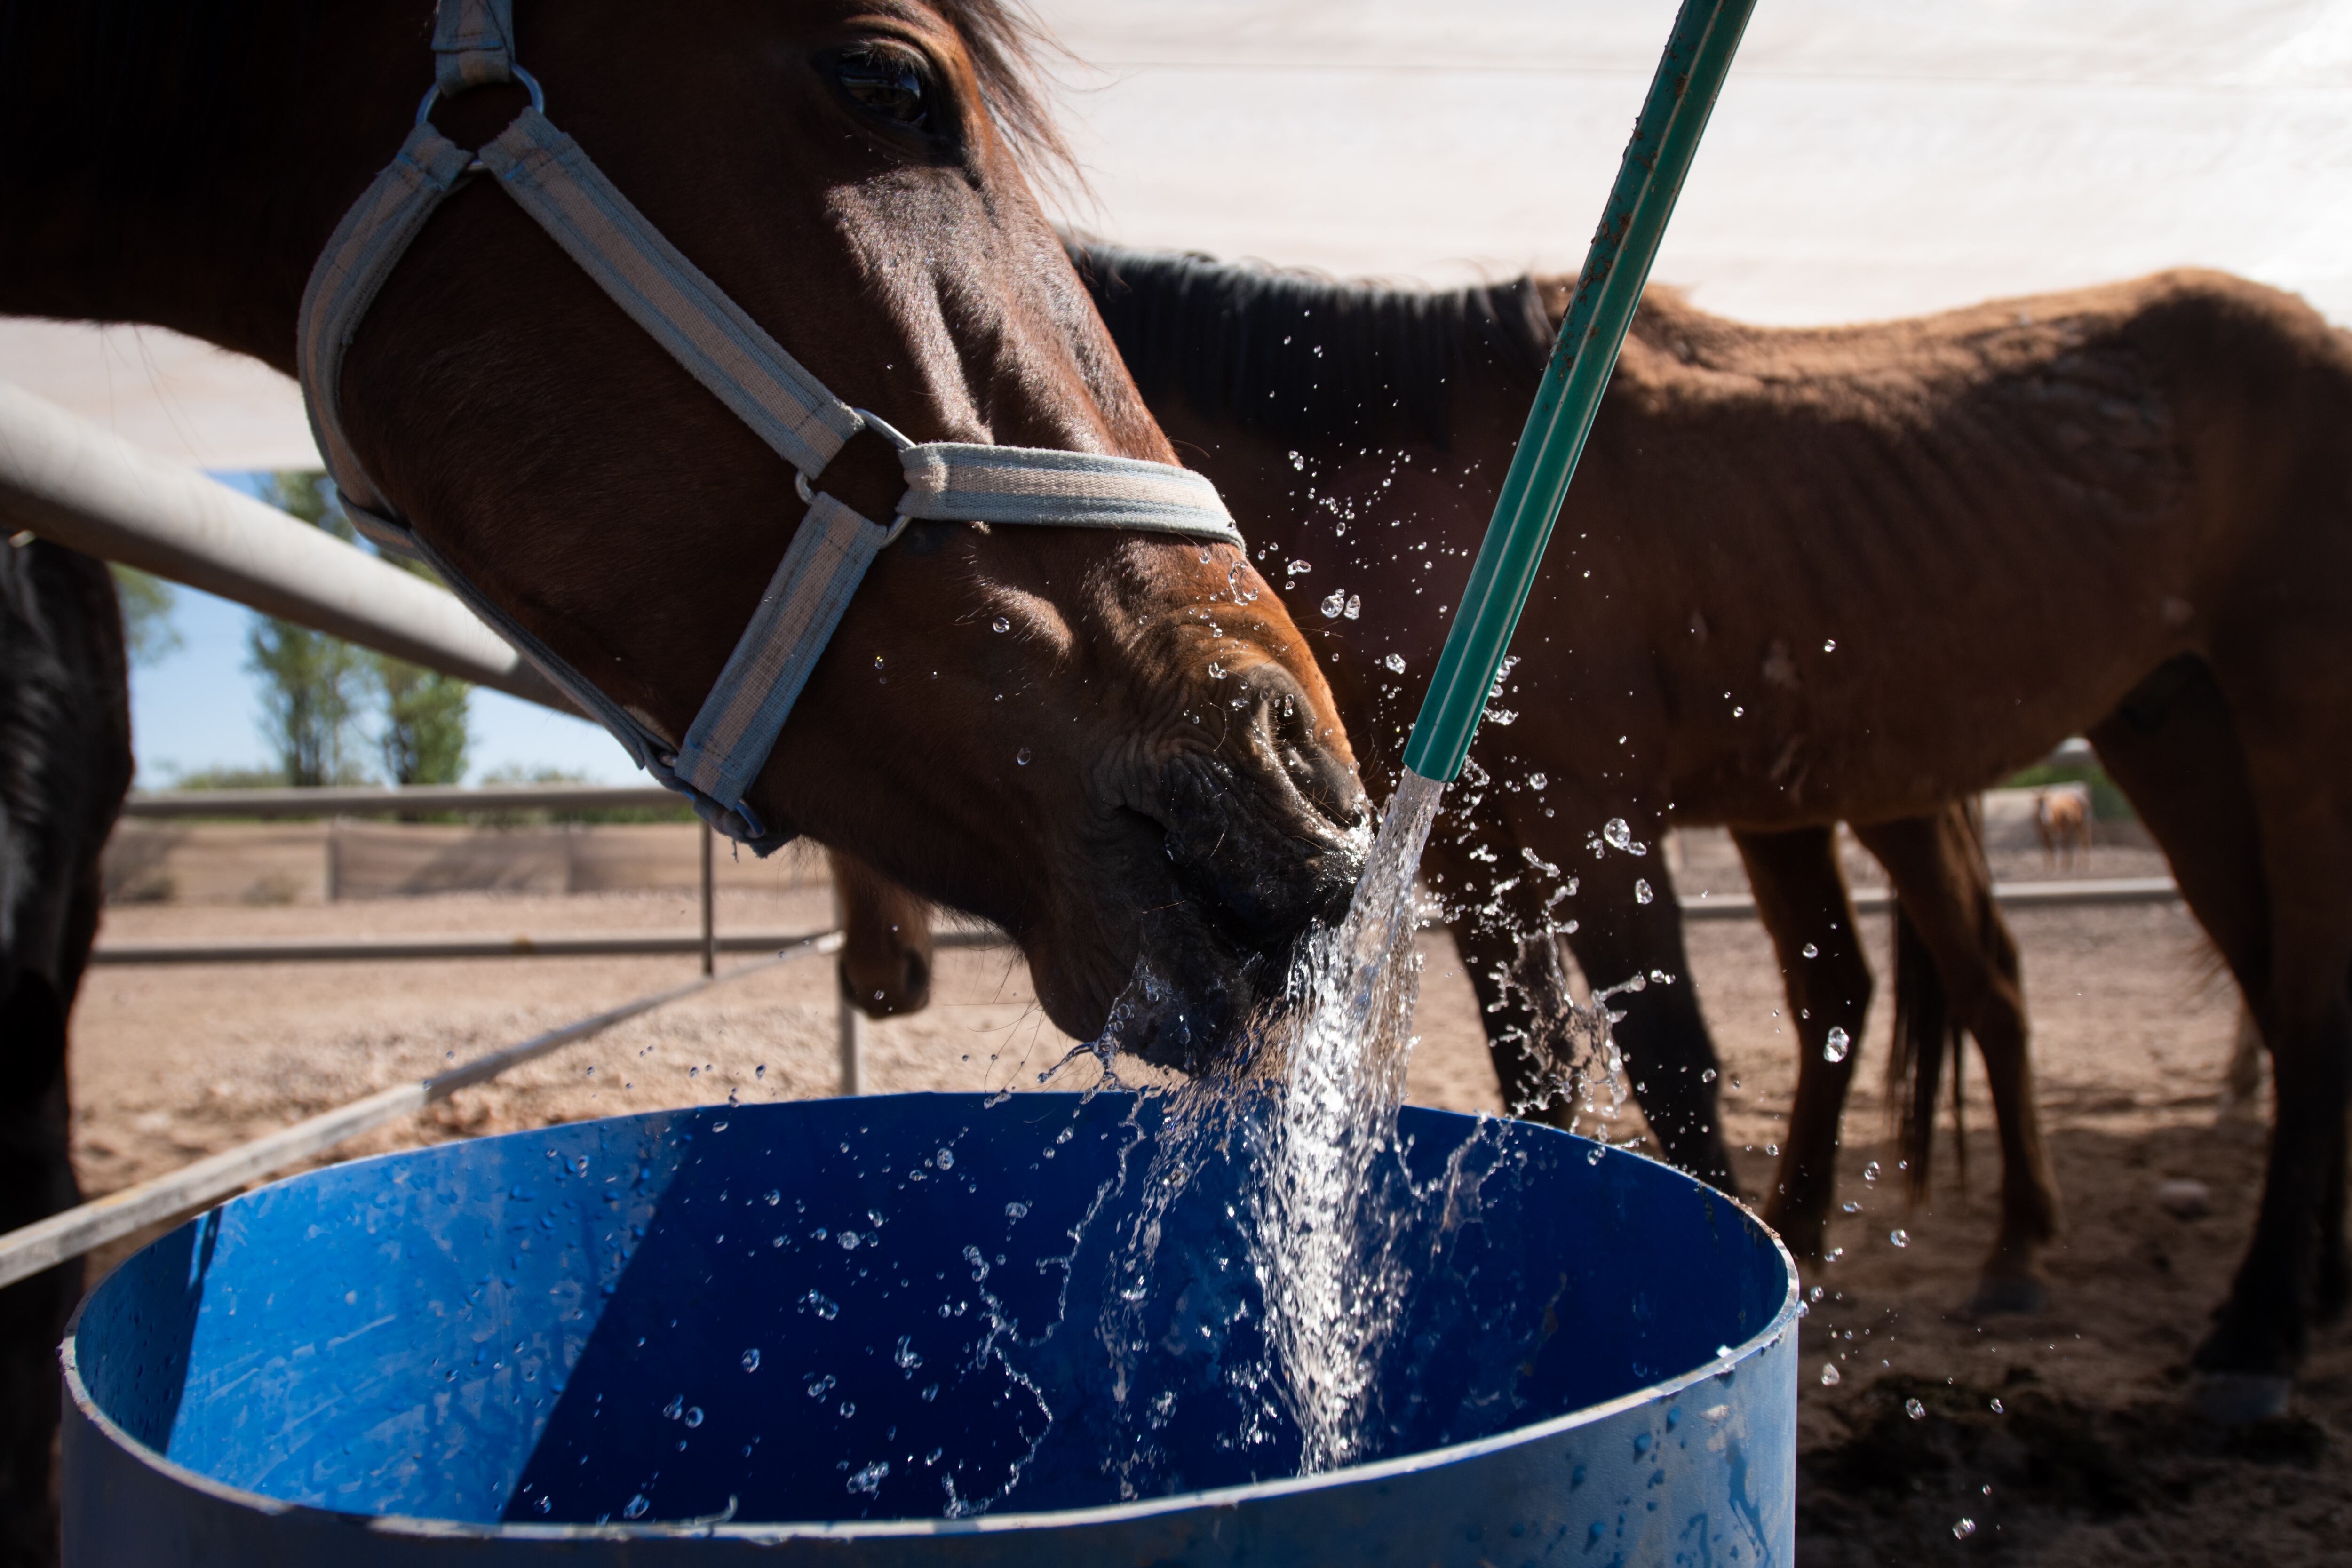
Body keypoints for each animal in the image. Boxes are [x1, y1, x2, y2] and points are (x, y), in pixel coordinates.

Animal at [847, 246, 2352, 1420]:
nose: (878, 978)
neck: (1445, 487)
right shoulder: (1469, 856)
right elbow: (1538, 1084)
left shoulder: (1593, 826)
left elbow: (1676, 1071)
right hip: (2171, 741)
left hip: (2278, 736)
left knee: (2290, 1008)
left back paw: (2253, 1336)